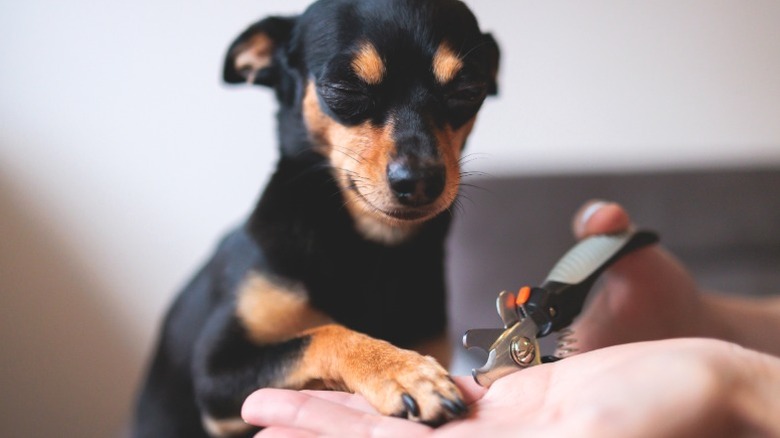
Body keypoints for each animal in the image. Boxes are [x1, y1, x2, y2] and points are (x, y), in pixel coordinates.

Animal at [133, 1, 500, 436]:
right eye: (344, 90)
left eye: (468, 91)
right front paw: (403, 371)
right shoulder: (214, 374)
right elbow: (324, 333)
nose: (422, 180)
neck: (373, 248)